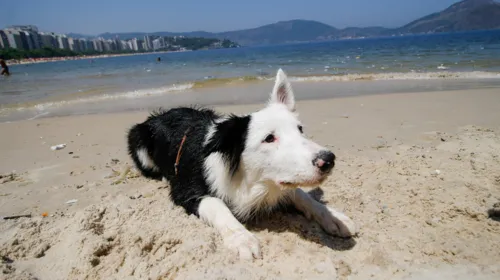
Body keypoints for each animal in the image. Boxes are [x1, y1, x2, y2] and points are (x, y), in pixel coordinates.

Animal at [127, 69, 358, 260]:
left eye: (300, 129)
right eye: (269, 138)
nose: (328, 160)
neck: (250, 180)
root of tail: (162, 114)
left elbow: (300, 194)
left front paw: (333, 216)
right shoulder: (185, 190)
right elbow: (217, 205)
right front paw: (241, 238)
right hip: (138, 140)